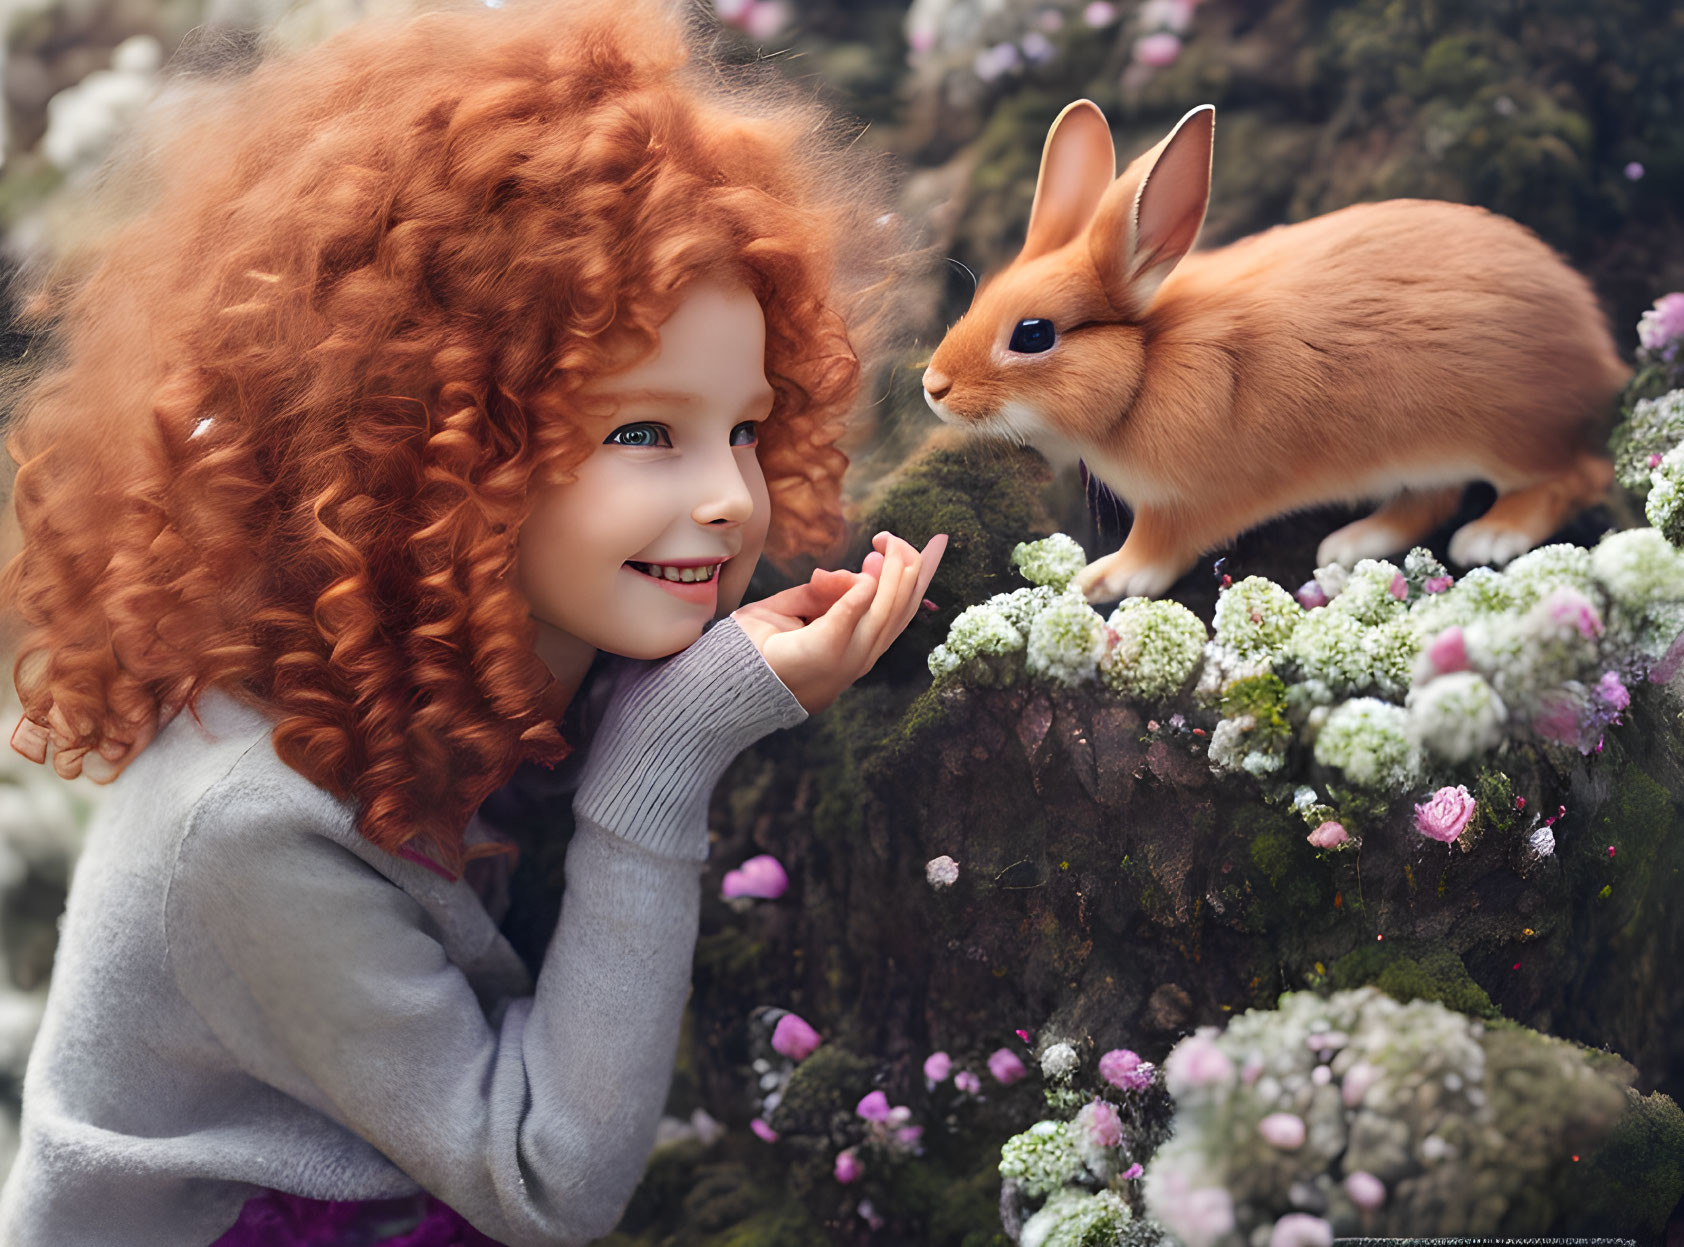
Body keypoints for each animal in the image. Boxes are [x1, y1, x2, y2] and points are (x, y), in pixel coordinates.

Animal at [922, 102, 1630, 599]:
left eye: (1033, 335)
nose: (934, 387)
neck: (1145, 363)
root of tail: (1600, 356)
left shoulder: (1184, 502)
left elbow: (1158, 547)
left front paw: (1106, 580)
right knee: (1432, 498)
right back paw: (1352, 543)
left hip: (1511, 439)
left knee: (1577, 477)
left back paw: (1492, 535)